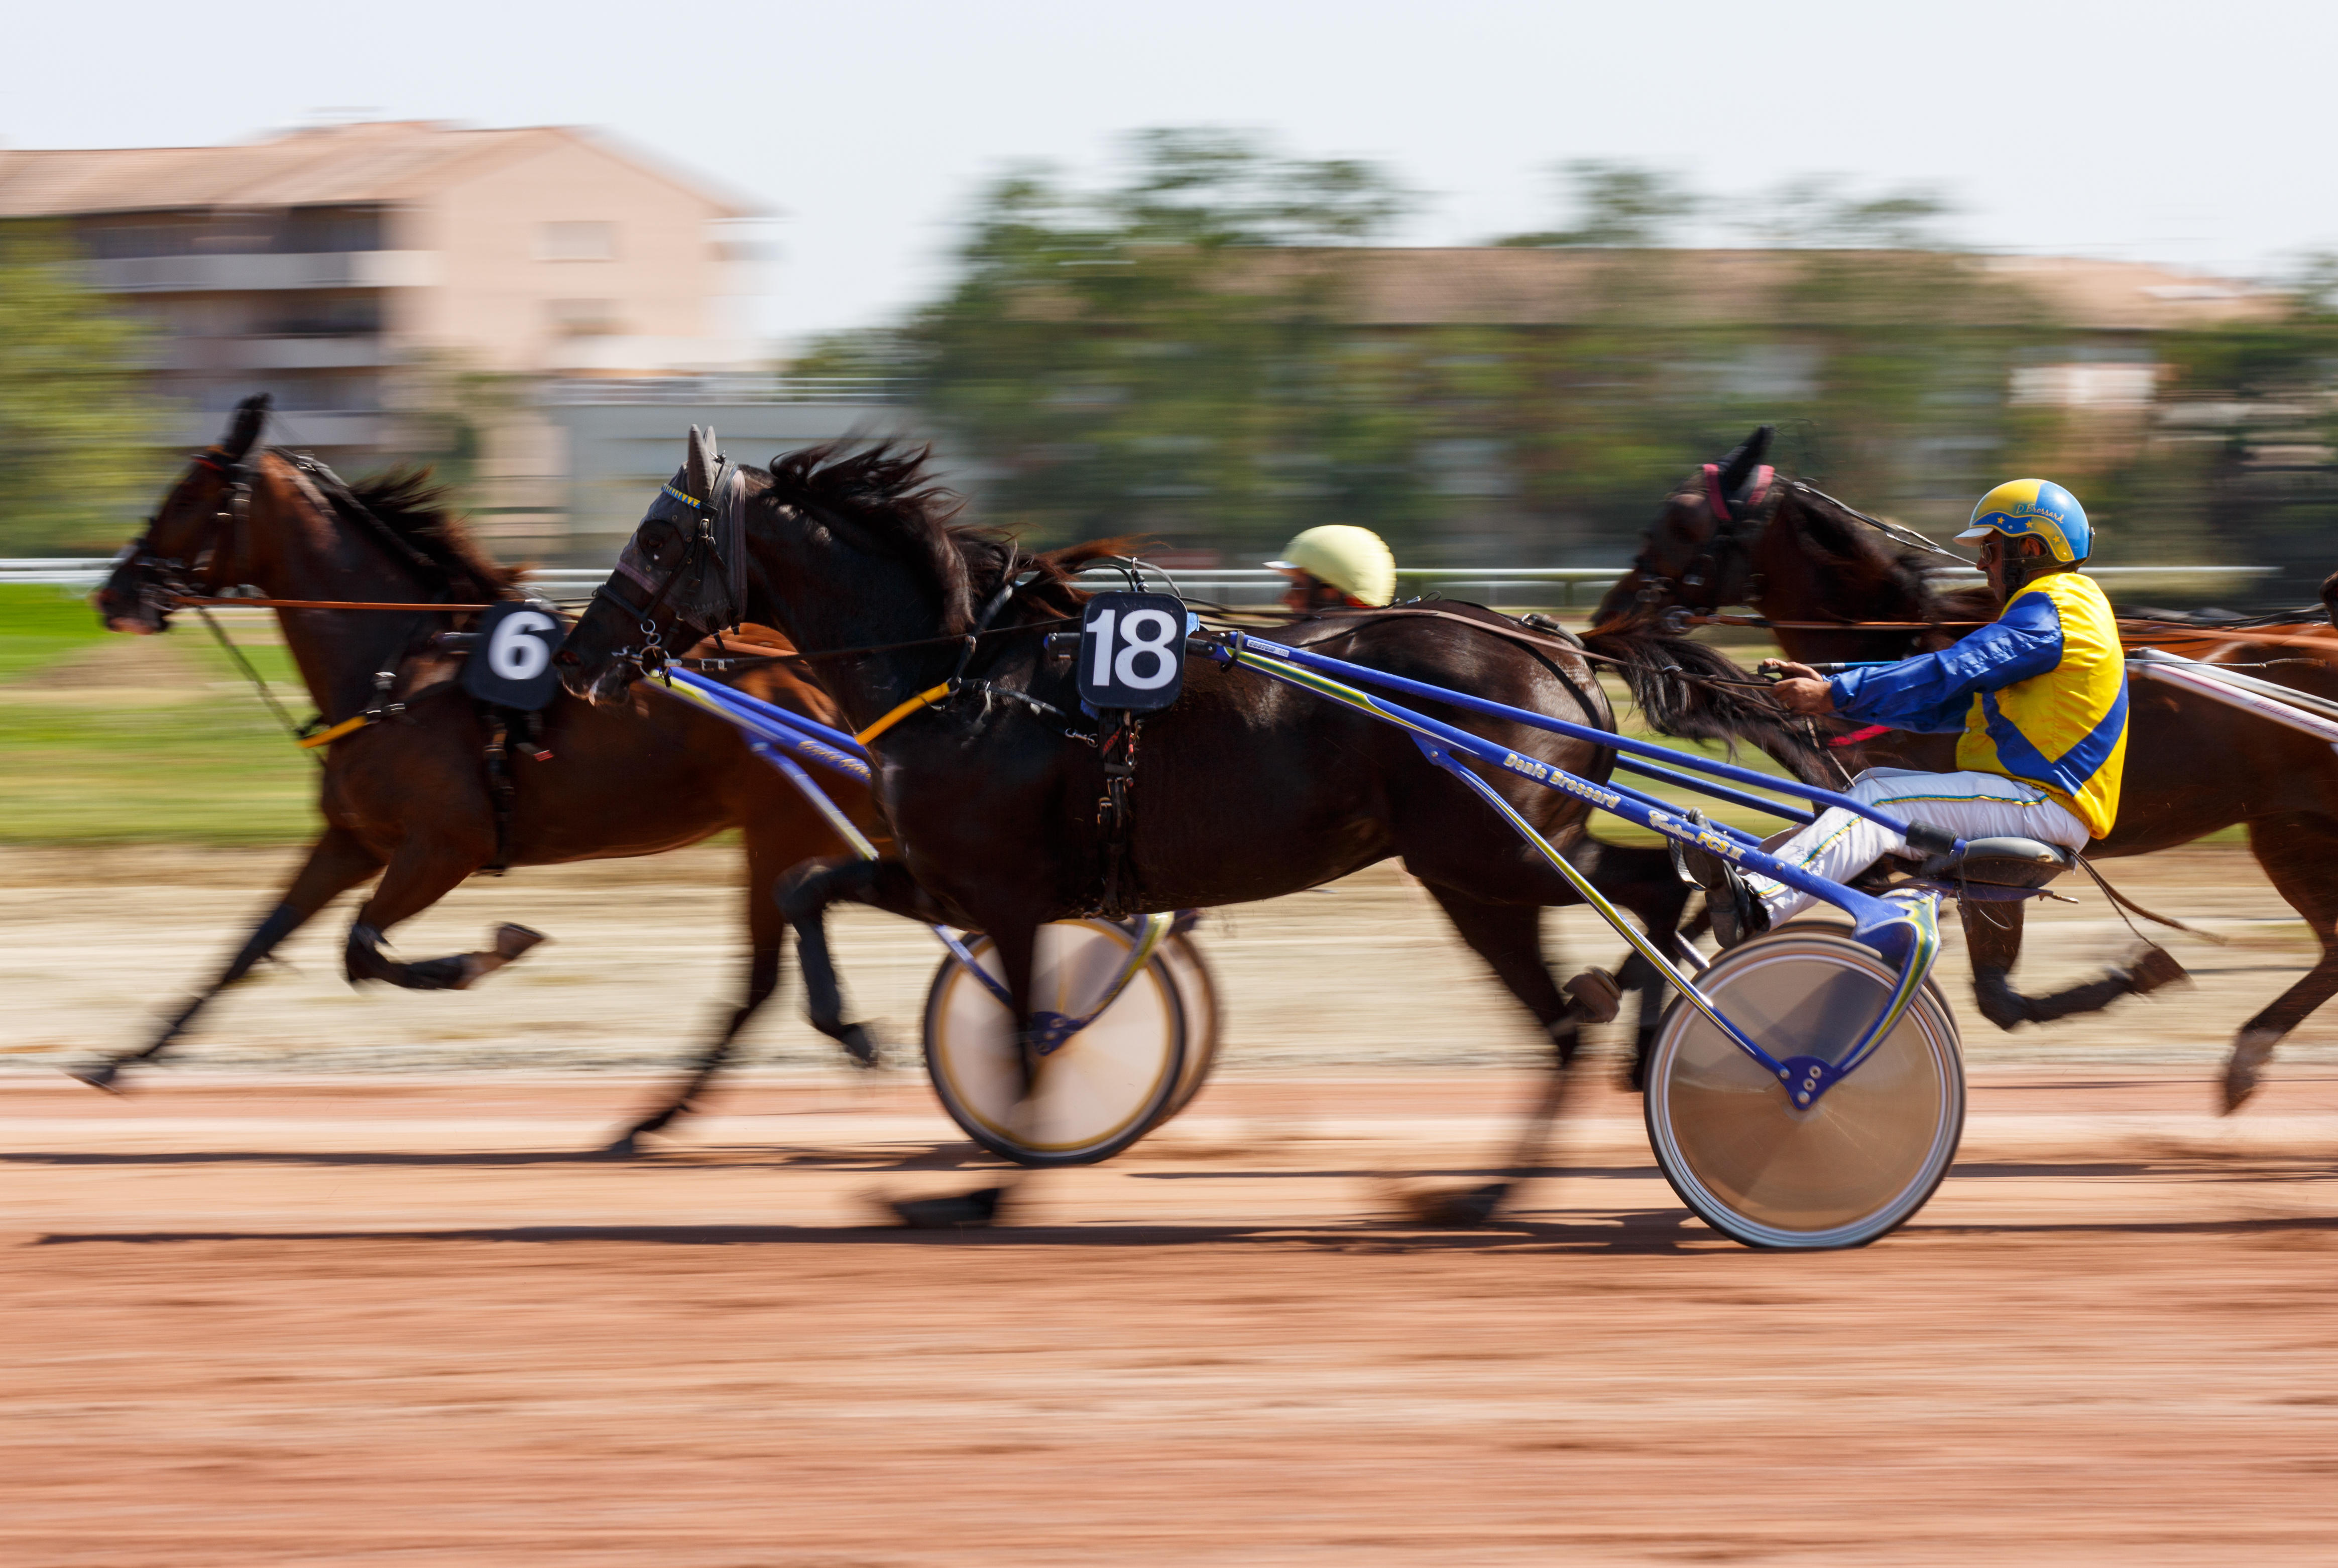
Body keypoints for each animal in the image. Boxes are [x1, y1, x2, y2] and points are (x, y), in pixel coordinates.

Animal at [86, 395, 879, 1154]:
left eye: (187, 496)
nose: (112, 594)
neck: (401, 668)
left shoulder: (447, 846)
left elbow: (362, 948)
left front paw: (488, 953)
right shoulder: (354, 840)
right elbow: (251, 944)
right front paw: (123, 1059)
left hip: (779, 829)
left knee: (760, 976)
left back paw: (667, 1113)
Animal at [561, 434, 1702, 1224]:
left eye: (658, 537)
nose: (577, 656)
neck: (967, 674)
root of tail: (1552, 642)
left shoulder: (1009, 896)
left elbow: (1026, 1038)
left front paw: (986, 1191)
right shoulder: (947, 878)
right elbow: (808, 887)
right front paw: (852, 1029)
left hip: (1484, 858)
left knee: (1642, 910)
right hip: (1490, 867)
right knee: (1609, 958)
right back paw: (1529, 1147)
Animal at [1599, 430, 2338, 1117]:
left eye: (1679, 522)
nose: (1610, 614)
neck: (1900, 638)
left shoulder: (1963, 850)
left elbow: (1998, 997)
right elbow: (1724, 898)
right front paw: (1628, 1002)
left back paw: (2244, 1053)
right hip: (2292, 831)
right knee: (2332, 947)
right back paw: (2248, 1057)